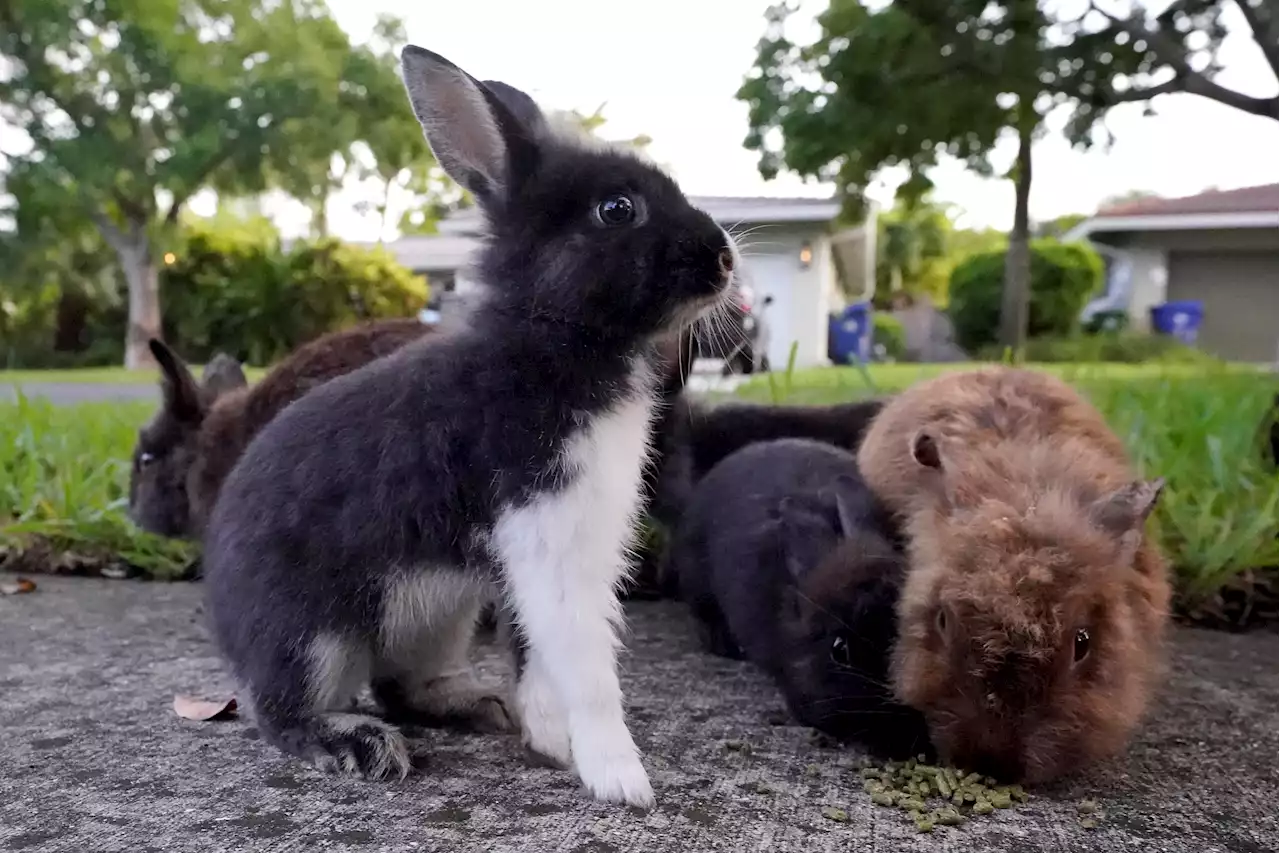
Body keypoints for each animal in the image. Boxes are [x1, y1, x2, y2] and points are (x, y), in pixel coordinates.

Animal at [202, 44, 742, 804]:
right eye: (616, 209)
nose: (724, 259)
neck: (552, 340)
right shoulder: (548, 537)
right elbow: (586, 668)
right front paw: (620, 779)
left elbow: (538, 656)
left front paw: (550, 741)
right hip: (312, 637)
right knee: (279, 710)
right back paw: (360, 744)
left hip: (439, 615)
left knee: (398, 686)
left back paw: (477, 705)